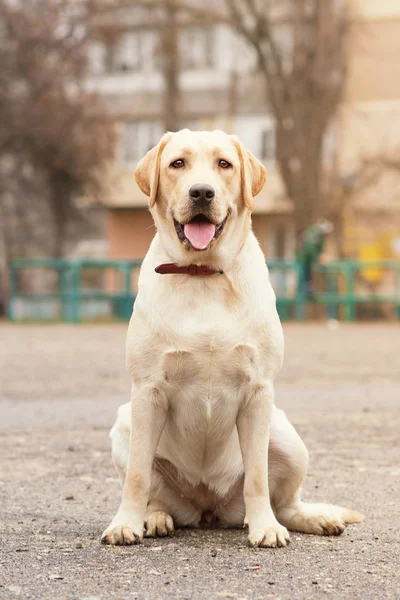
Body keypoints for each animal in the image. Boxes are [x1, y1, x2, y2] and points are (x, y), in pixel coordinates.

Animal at [101, 131, 364, 548]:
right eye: (177, 164)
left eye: (224, 164)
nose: (201, 192)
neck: (203, 273)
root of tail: (209, 509)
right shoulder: (147, 391)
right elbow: (138, 477)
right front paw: (125, 523)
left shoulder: (258, 392)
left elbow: (257, 477)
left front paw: (265, 527)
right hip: (124, 425)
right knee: (152, 491)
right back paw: (155, 519)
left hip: (287, 437)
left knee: (286, 503)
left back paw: (312, 518)